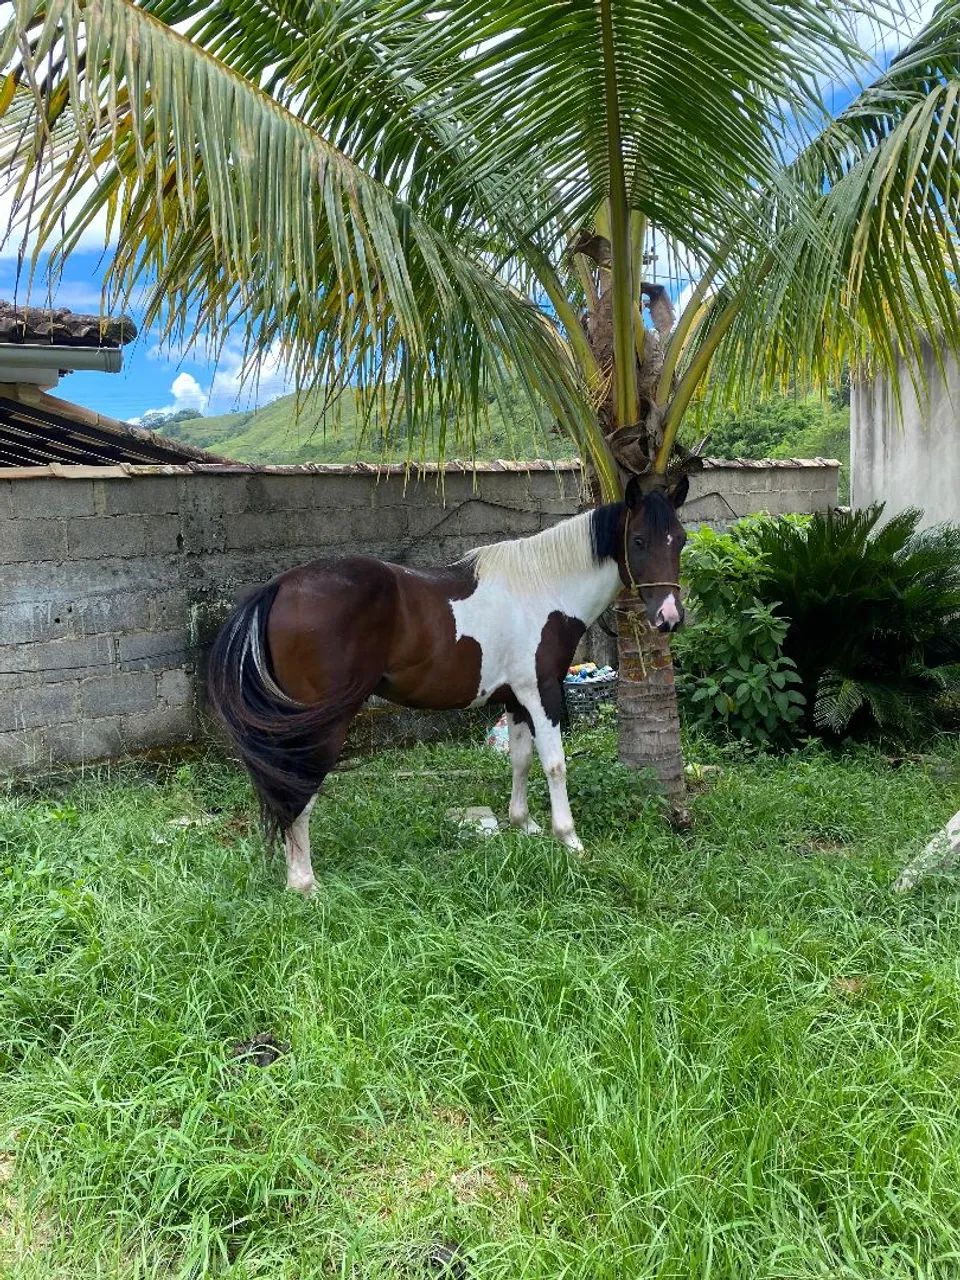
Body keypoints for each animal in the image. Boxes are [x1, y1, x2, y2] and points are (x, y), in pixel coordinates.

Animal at [207, 474, 688, 893]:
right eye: (639, 540)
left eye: (680, 539)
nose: (669, 618)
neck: (543, 588)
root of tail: (280, 586)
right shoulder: (542, 692)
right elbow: (554, 764)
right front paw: (569, 840)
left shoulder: (515, 699)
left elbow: (520, 761)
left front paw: (524, 825)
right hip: (323, 724)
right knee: (298, 789)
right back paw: (304, 883)